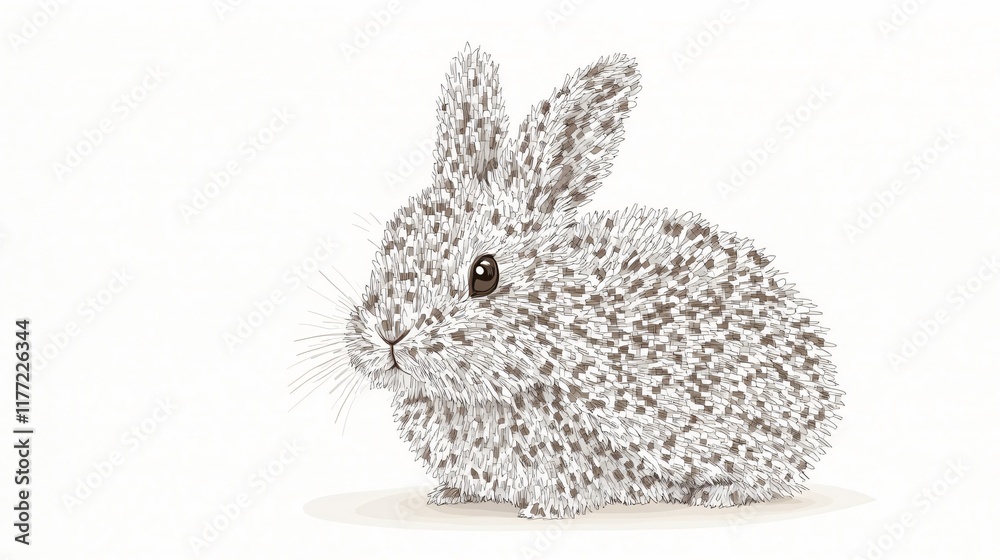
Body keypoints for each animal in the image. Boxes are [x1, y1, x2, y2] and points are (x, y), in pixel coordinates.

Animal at [326, 46, 844, 519]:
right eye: (390, 240)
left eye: (484, 274)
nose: (390, 334)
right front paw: (451, 494)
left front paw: (542, 510)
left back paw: (718, 495)